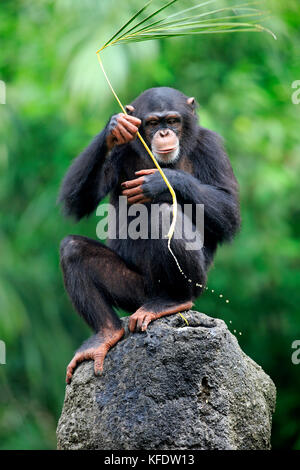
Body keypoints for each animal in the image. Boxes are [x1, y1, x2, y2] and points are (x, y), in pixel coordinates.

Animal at [59, 87, 240, 382]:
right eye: (153, 122)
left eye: (173, 121)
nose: (164, 133)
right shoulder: (118, 154)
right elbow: (76, 201)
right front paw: (114, 126)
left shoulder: (212, 147)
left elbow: (230, 210)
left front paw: (161, 181)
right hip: (136, 292)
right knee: (73, 249)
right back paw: (106, 334)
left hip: (194, 284)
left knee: (164, 215)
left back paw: (174, 300)